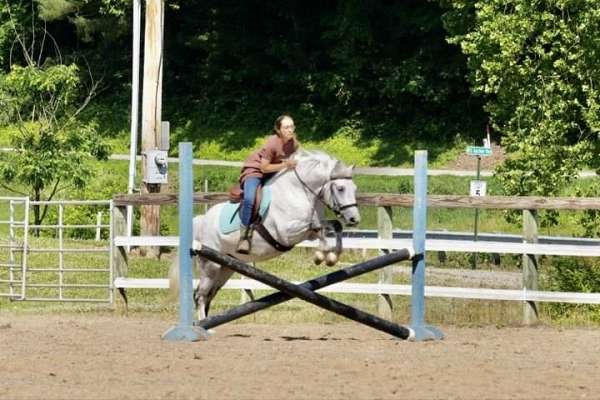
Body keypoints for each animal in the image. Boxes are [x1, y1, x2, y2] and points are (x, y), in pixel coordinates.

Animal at [172, 148, 360, 320]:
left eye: (354, 189)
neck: (299, 192)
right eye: (340, 188)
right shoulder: (288, 233)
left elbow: (332, 226)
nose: (354, 219)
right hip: (210, 264)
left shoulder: (309, 232)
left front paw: (332, 256)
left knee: (209, 294)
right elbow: (319, 230)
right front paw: (322, 256)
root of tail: (202, 220)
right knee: (200, 295)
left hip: (226, 267)